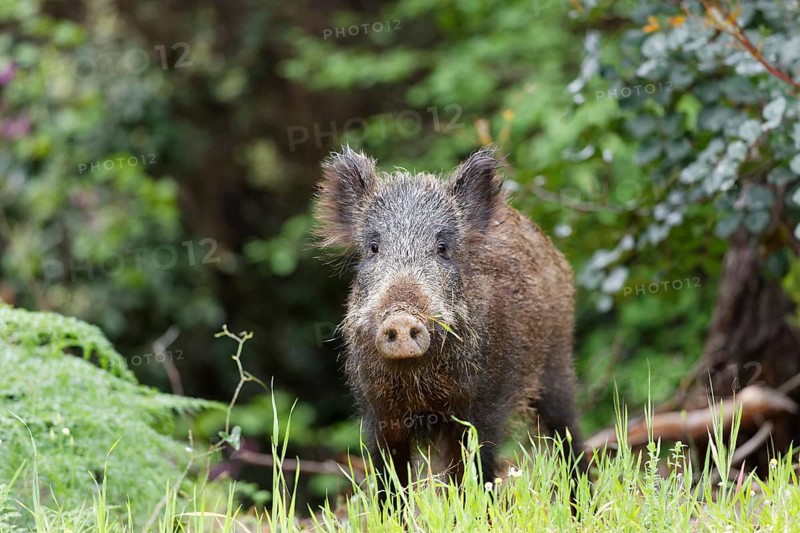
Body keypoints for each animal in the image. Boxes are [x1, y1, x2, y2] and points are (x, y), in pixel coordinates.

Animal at [315, 146, 584, 501]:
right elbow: (391, 483)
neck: (418, 385)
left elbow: (482, 472)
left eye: (442, 248)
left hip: (557, 365)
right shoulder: (378, 412)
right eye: (373, 248)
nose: (401, 317)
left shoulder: (484, 407)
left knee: (569, 437)